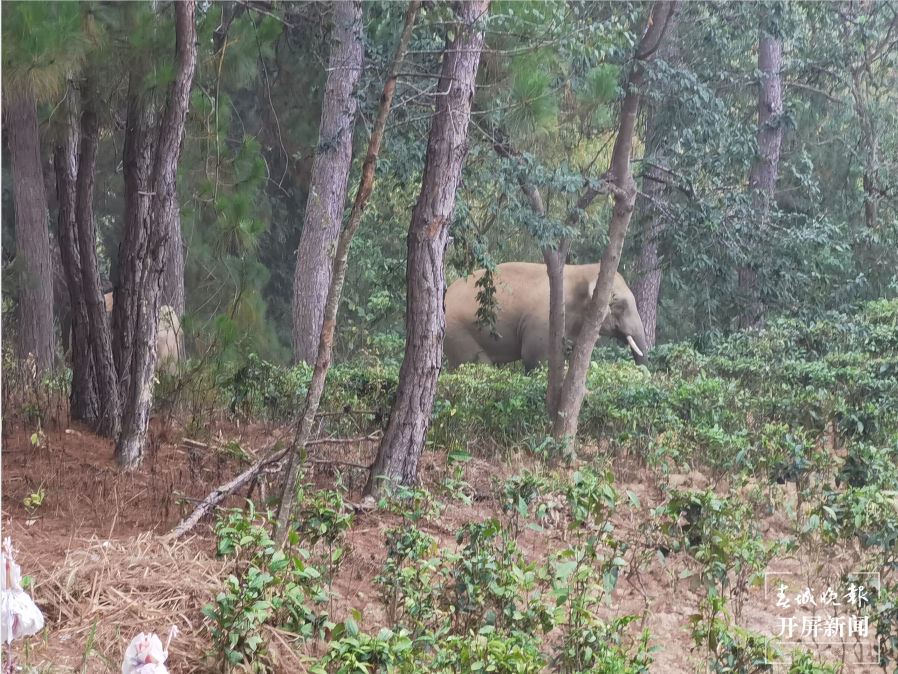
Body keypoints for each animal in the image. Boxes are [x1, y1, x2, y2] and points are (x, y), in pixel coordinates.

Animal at [443, 262, 648, 371]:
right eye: (620, 306)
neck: (582, 269)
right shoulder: (543, 321)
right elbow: (536, 358)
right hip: (457, 331)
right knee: (477, 364)